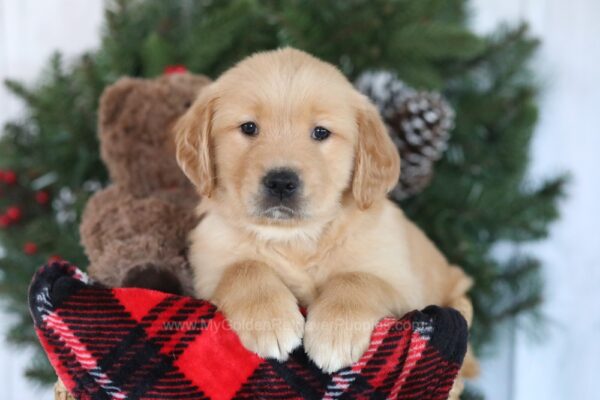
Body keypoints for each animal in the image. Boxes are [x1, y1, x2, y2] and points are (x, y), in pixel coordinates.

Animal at [176, 46, 476, 388]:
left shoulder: (404, 287)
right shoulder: (207, 268)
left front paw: (335, 332)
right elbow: (243, 267)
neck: (295, 236)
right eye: (249, 128)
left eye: (320, 132)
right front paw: (270, 319)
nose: (281, 182)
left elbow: (357, 277)